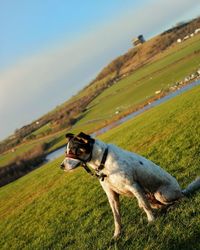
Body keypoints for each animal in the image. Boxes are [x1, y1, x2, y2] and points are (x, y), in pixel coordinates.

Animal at [60, 131, 200, 238]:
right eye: (66, 151)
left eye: (73, 150)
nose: (61, 166)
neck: (102, 162)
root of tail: (180, 190)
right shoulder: (111, 196)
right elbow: (116, 218)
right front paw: (117, 235)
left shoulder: (134, 186)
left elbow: (146, 207)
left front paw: (151, 221)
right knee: (157, 205)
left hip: (161, 194)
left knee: (181, 198)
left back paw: (175, 204)